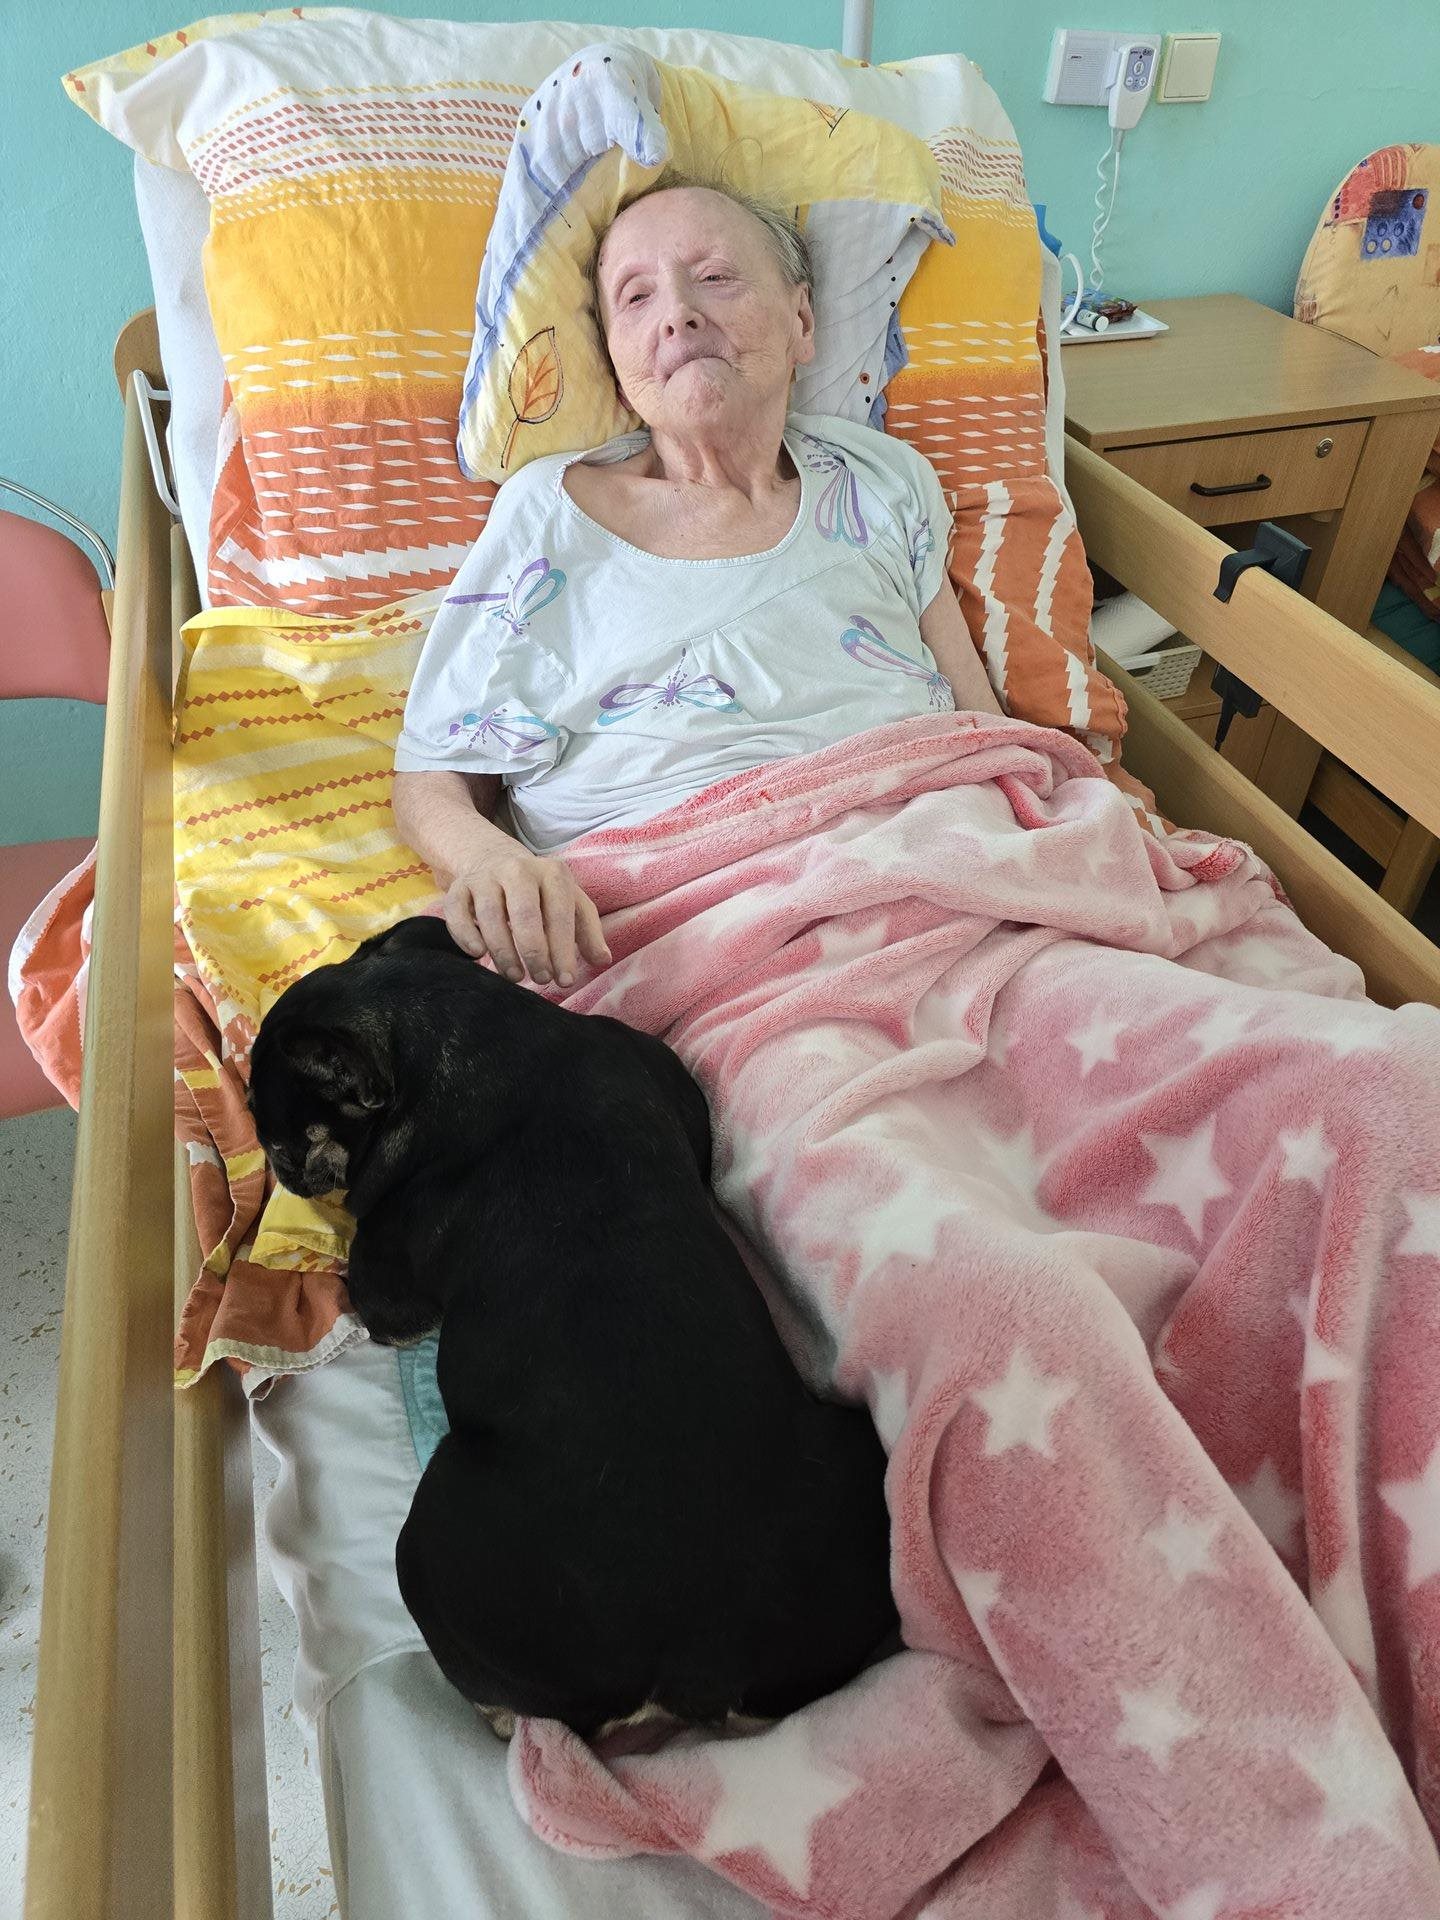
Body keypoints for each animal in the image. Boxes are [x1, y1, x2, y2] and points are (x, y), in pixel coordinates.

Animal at [248, 914, 898, 1737]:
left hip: (423, 1543)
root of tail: (696, 1669)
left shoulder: (391, 1291)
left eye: (279, 1139)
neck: (463, 1031)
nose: (284, 1175)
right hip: (859, 1460)